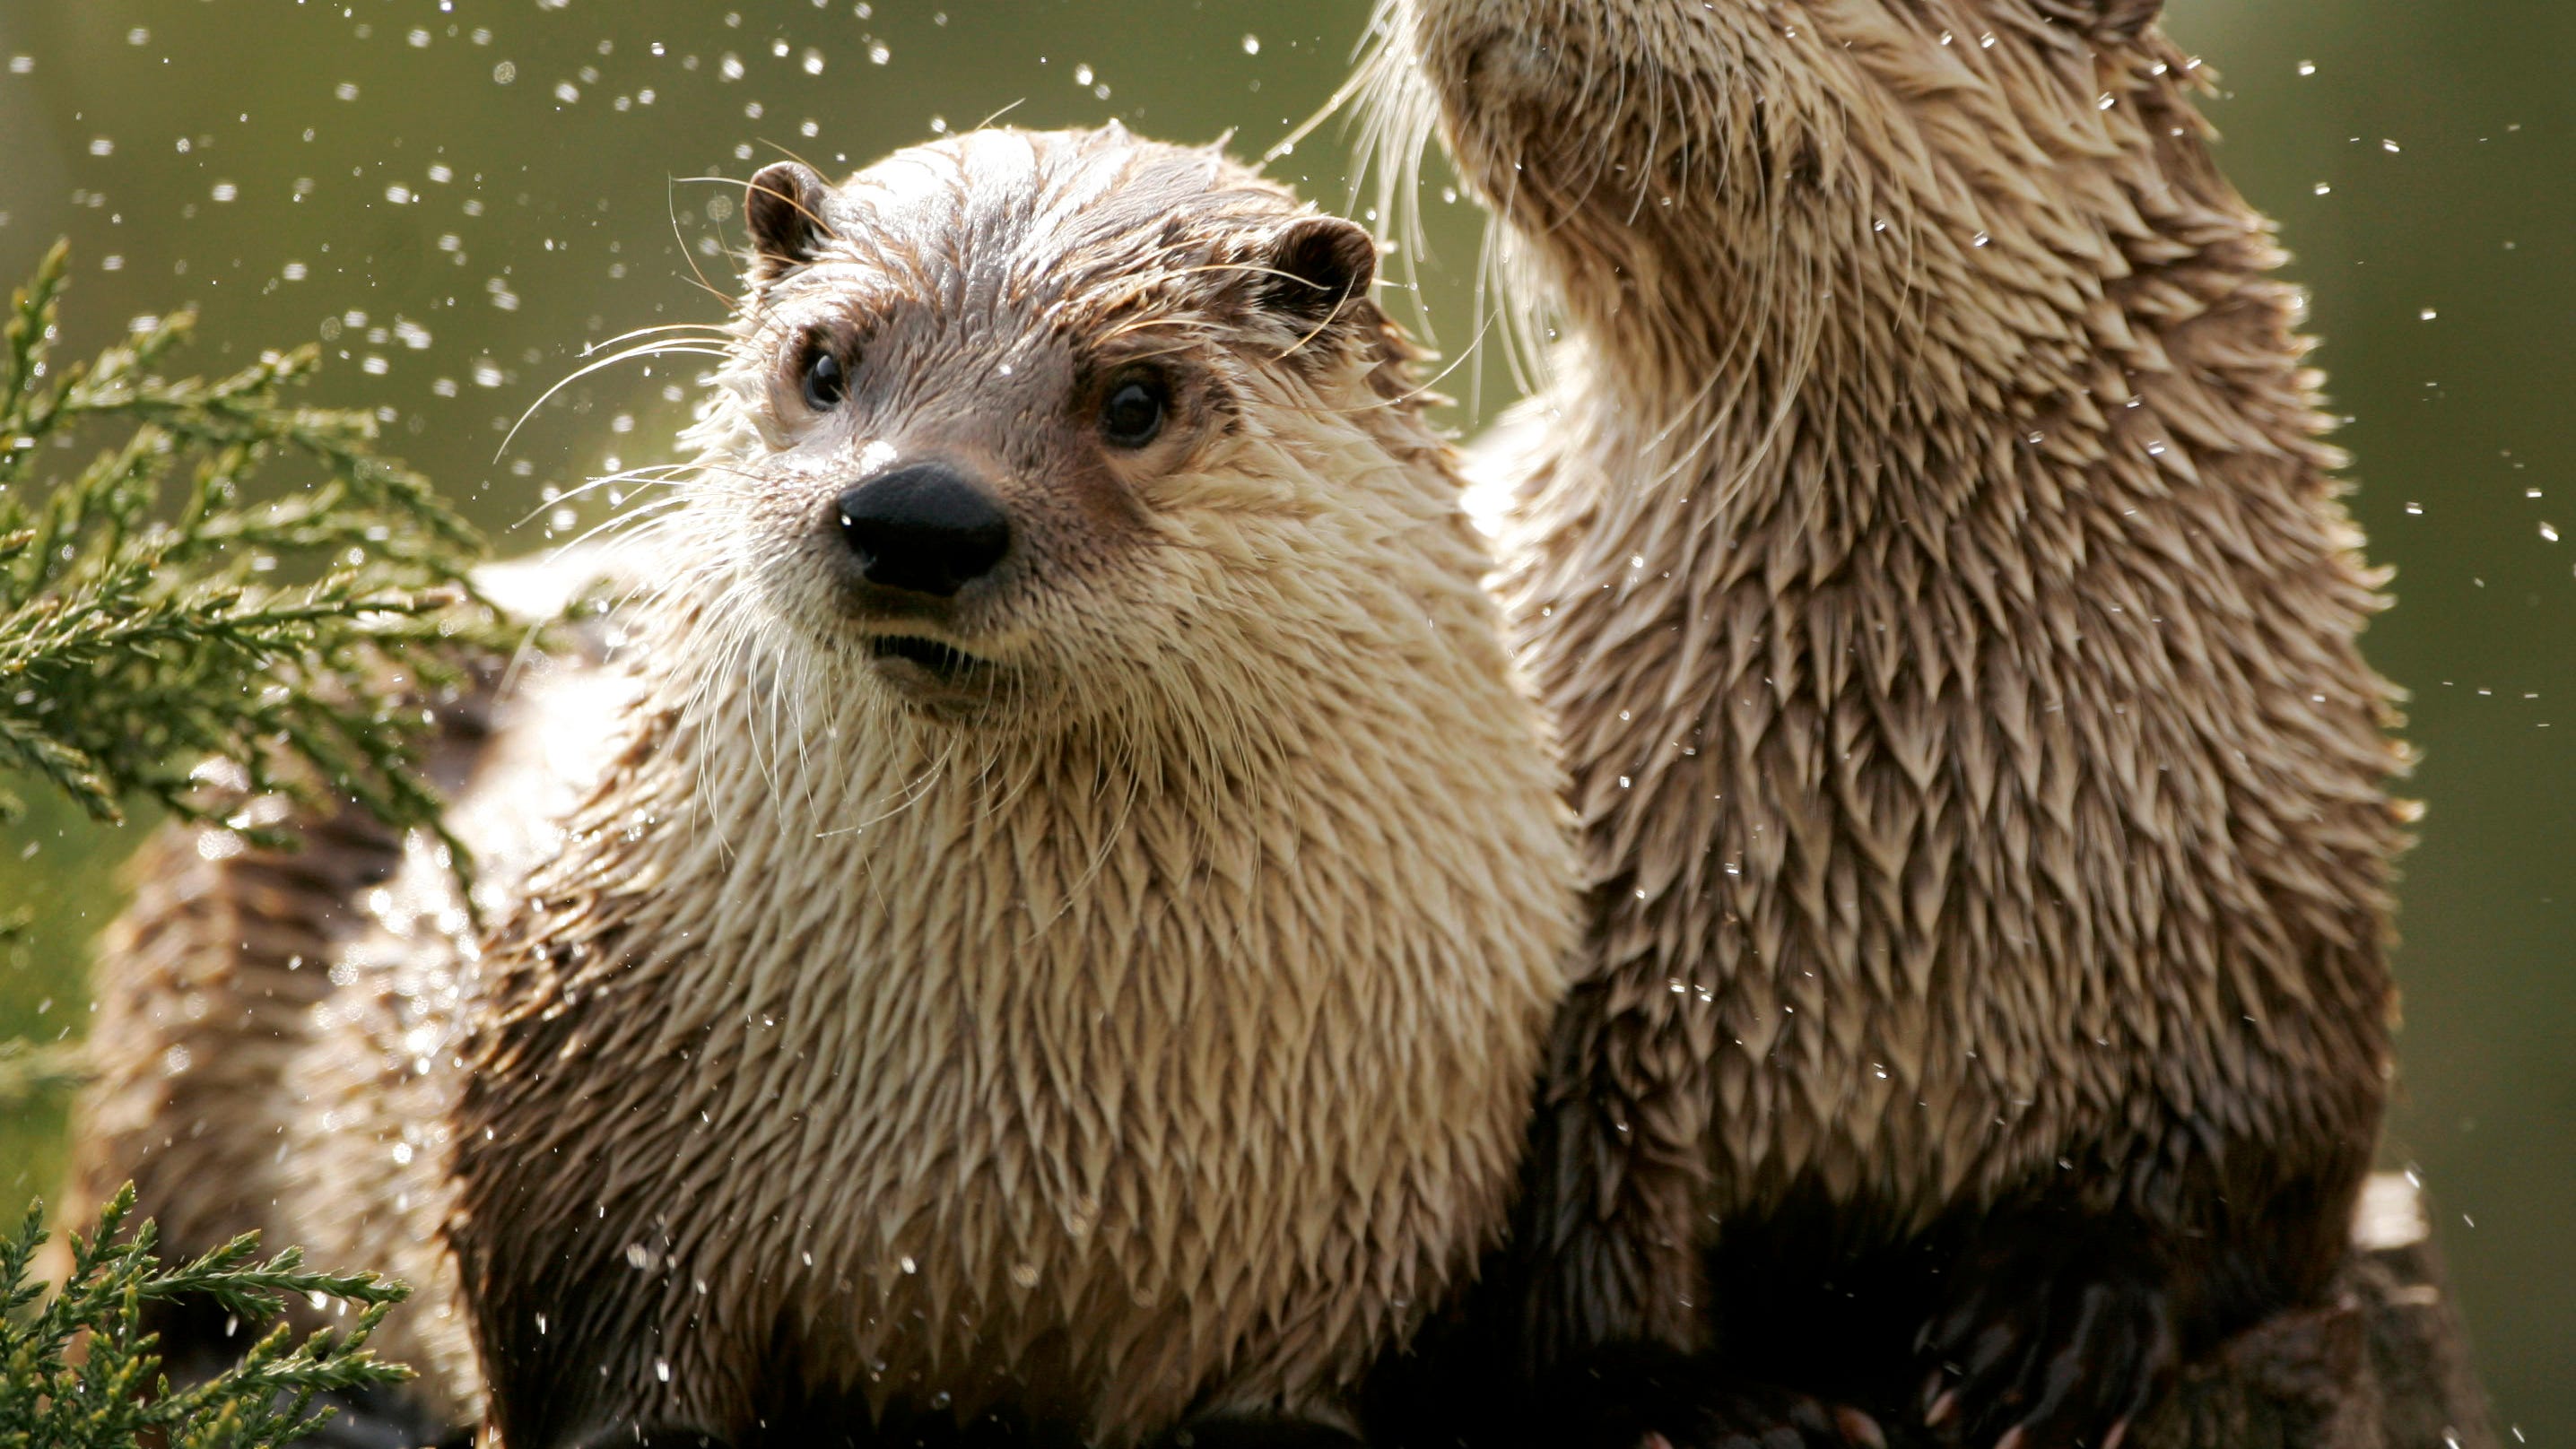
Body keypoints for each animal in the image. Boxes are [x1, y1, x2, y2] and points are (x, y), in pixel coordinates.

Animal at [75, 125, 1566, 1449]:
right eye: (826, 360)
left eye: (1136, 397)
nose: (918, 512)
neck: (1019, 1110)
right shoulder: (584, 1194)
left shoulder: (1367, 1244)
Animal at [1360, 3, 2400, 1449]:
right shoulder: (1576, 1006)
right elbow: (1553, 1253)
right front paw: (1685, 1400)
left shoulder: (2283, 916)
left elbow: (2260, 1176)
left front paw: (2060, 1306)